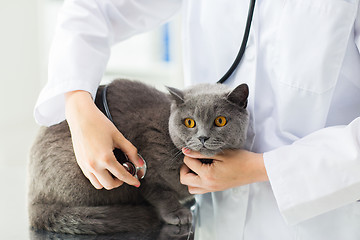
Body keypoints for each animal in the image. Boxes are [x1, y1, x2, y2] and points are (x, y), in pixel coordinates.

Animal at [28, 79, 249, 236]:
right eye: (189, 122)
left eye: (220, 121)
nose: (203, 137)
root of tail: (33, 200)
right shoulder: (149, 171)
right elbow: (160, 193)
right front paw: (177, 213)